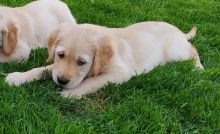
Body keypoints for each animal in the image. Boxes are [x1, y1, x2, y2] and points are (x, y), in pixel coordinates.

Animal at [6, 21, 204, 98]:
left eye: (82, 62)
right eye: (60, 55)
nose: (61, 81)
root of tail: (179, 31)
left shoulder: (120, 72)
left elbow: (92, 82)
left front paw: (70, 93)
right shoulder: (56, 67)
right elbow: (43, 69)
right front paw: (18, 77)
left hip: (175, 52)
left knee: (193, 50)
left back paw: (198, 68)